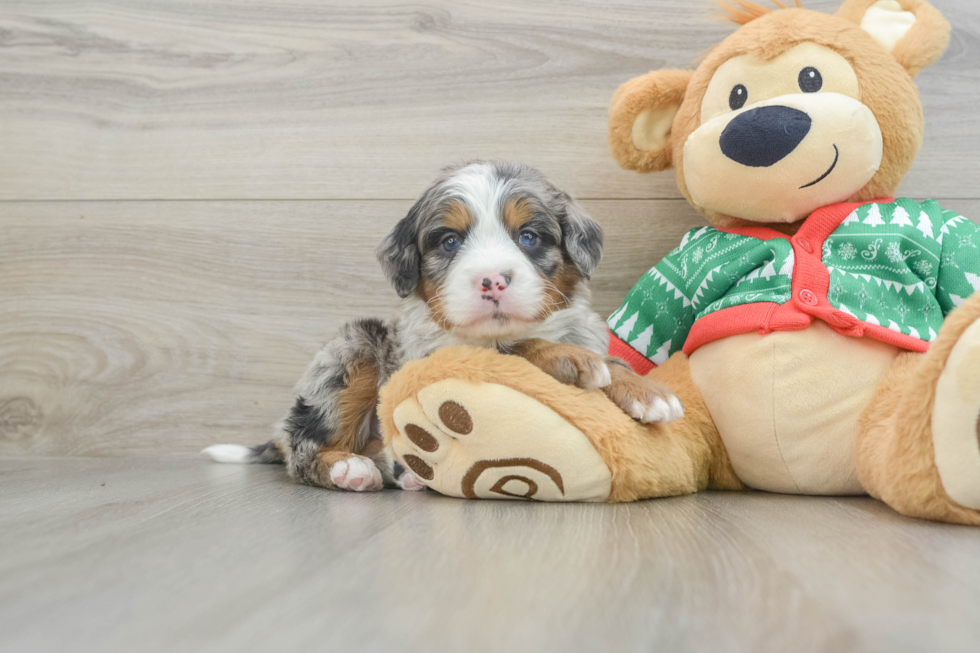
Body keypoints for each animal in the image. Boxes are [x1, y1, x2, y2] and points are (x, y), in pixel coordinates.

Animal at [206, 160, 680, 492]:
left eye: (528, 237)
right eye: (450, 241)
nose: (491, 280)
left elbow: (611, 363)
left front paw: (646, 392)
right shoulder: (433, 355)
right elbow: (515, 350)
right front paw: (567, 358)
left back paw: (406, 474)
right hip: (352, 351)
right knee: (303, 453)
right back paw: (349, 468)